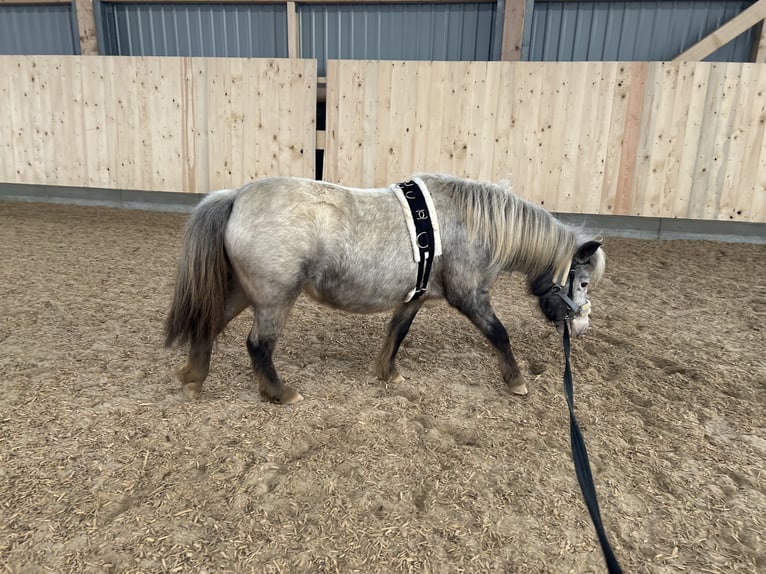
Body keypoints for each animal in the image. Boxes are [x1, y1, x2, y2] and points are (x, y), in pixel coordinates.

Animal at [164, 176, 608, 404]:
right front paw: (515, 380)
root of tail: (237, 196)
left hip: (244, 291)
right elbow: (499, 333)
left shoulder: (416, 297)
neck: (472, 223)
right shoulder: (469, 296)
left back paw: (194, 379)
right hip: (275, 298)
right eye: (583, 282)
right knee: (258, 344)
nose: (581, 327)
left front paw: (388, 372)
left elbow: (397, 332)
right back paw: (279, 392)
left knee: (208, 325)